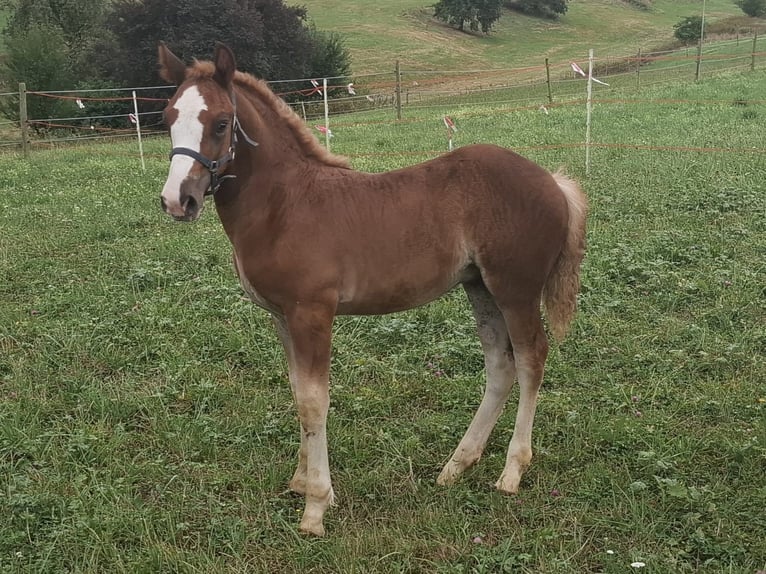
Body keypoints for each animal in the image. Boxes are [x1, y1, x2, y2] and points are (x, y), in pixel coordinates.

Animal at [156, 42, 588, 536]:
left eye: (222, 122)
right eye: (167, 117)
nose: (177, 200)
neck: (283, 204)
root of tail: (553, 180)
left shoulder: (312, 313)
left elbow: (313, 401)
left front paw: (316, 506)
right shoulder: (282, 316)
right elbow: (297, 391)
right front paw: (300, 482)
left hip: (515, 289)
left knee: (532, 357)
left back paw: (511, 470)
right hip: (480, 287)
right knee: (501, 364)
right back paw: (457, 465)